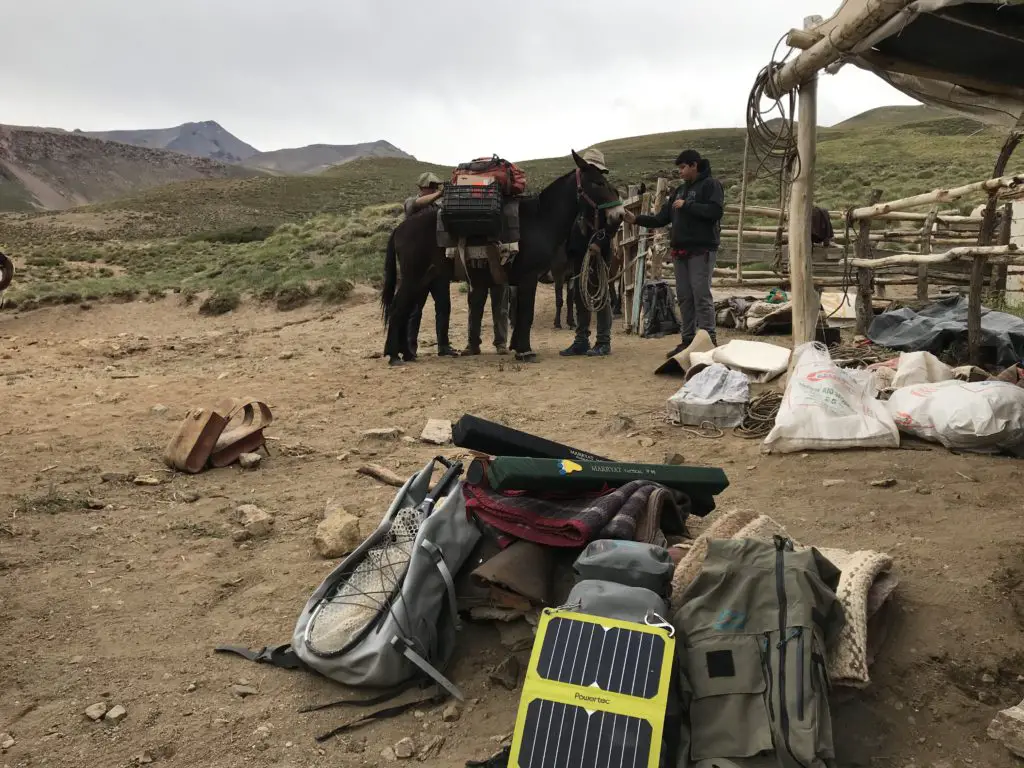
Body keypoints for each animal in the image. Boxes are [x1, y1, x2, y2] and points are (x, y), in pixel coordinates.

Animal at [382, 153, 622, 366]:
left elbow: (521, 314)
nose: (619, 214)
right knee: (397, 310)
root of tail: (400, 228)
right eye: (598, 183)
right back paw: (394, 356)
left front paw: (518, 348)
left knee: (405, 311)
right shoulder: (529, 278)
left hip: (423, 280)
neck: (541, 220)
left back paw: (406, 354)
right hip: (413, 278)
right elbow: (526, 313)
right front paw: (525, 351)